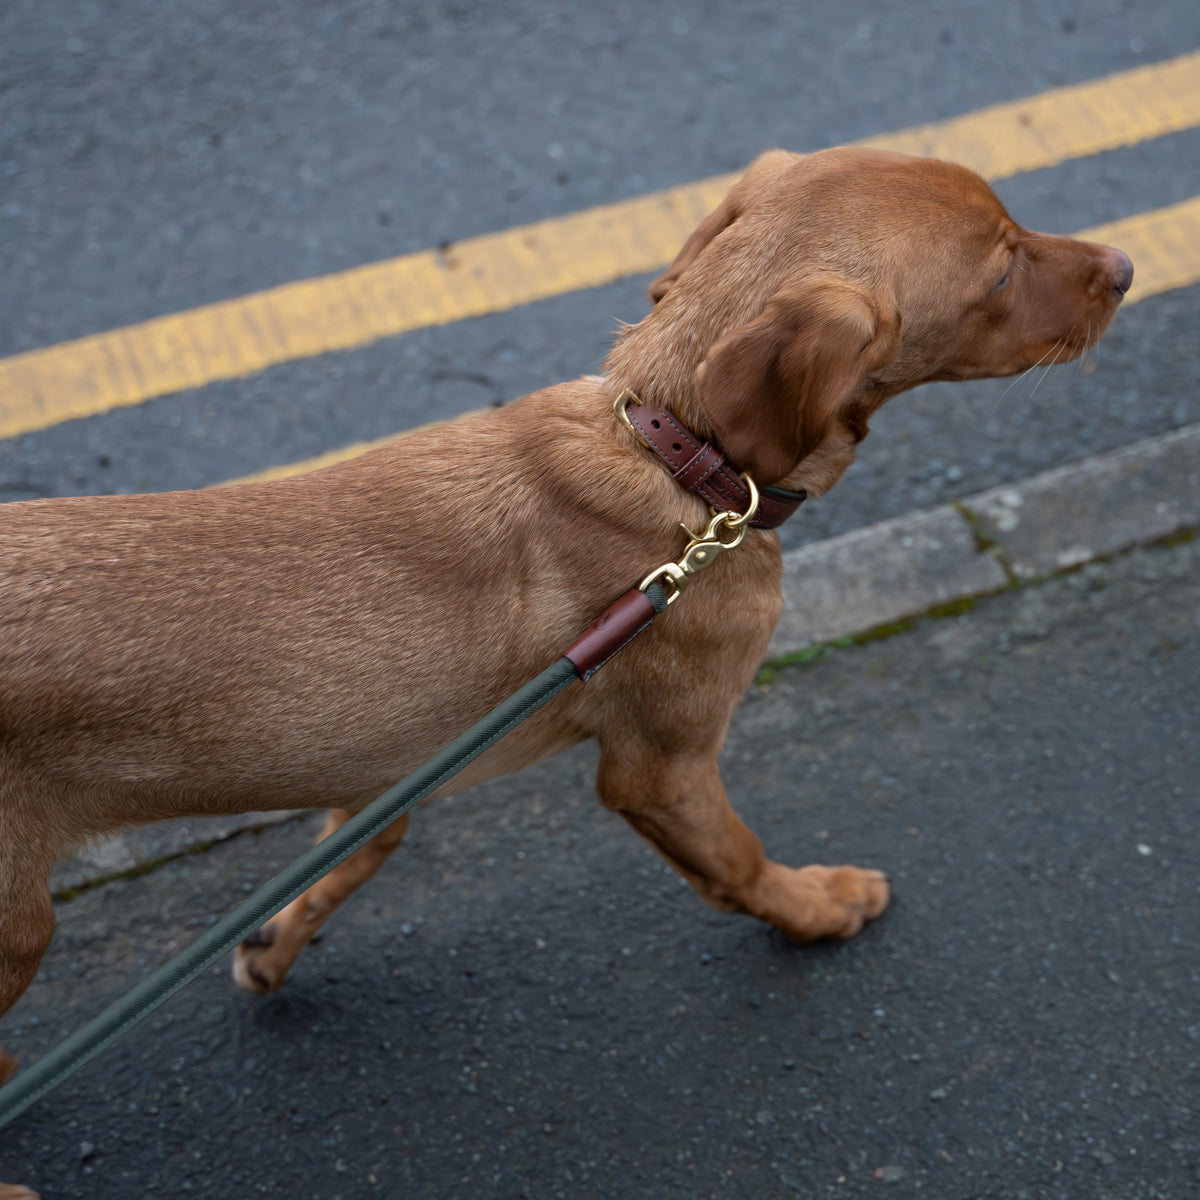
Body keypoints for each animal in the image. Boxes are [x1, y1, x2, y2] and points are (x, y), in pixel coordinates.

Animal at [0, 145, 1128, 1176]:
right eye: (1000, 268)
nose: (1123, 264)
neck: (676, 461)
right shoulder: (663, 770)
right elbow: (741, 866)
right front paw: (819, 908)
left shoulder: (408, 745)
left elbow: (362, 836)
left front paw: (279, 937)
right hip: (19, 927)